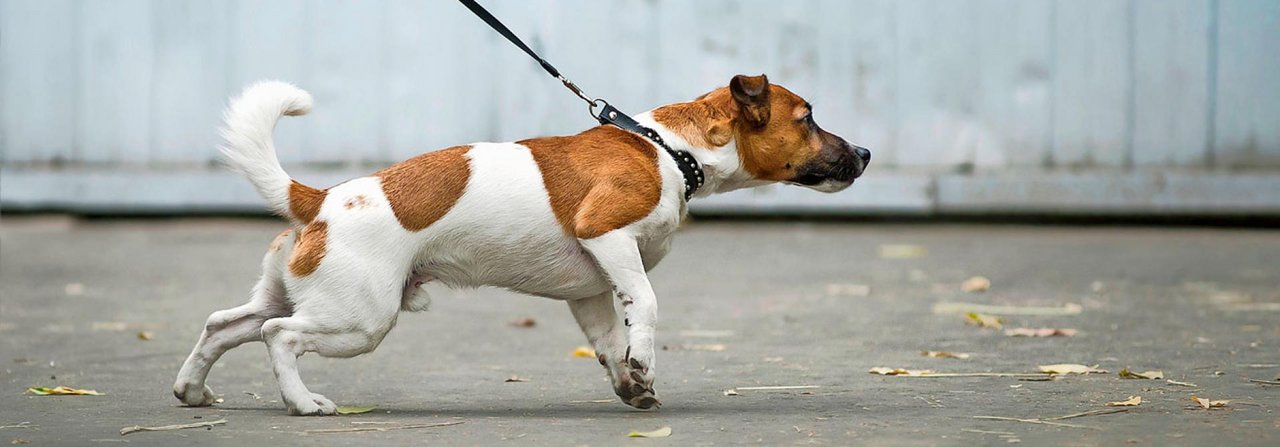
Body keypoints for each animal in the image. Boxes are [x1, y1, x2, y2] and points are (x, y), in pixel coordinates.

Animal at [172, 73, 870, 414]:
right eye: (807, 118)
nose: (863, 153)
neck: (668, 149)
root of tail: (320, 201)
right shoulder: (608, 236)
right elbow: (644, 306)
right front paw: (644, 363)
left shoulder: (591, 288)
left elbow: (609, 343)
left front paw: (631, 384)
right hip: (359, 319)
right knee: (277, 337)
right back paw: (302, 403)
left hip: (295, 295)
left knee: (225, 325)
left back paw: (192, 392)